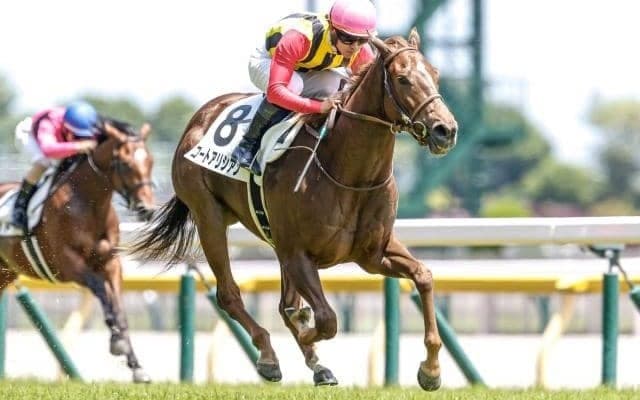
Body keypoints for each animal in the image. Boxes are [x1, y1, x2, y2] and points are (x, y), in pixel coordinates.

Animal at [0, 120, 156, 383]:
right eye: (125, 164)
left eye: (151, 162)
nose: (148, 209)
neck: (88, 204)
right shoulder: (69, 264)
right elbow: (102, 291)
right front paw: (117, 341)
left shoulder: (111, 264)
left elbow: (119, 308)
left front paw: (136, 366)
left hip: (6, 272)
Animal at [131, 28, 458, 390]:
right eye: (403, 79)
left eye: (435, 74)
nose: (446, 130)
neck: (348, 171)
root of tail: (199, 118)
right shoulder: (299, 254)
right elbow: (326, 319)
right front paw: (303, 333)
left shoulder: (373, 254)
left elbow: (423, 276)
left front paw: (431, 369)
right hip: (210, 218)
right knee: (230, 294)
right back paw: (269, 356)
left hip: (274, 242)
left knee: (285, 302)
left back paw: (316, 363)